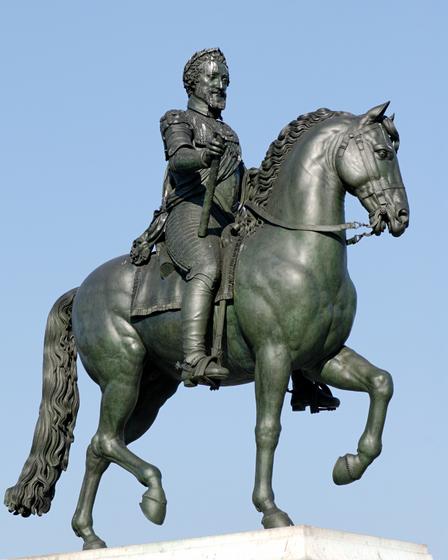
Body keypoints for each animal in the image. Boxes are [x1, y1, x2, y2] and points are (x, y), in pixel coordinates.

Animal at [4, 99, 410, 548]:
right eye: (383, 152)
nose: (400, 216)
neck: (296, 249)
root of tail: (82, 289)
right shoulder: (273, 355)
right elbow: (267, 429)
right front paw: (271, 510)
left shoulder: (322, 358)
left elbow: (382, 383)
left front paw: (349, 465)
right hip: (122, 375)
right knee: (107, 440)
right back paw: (153, 496)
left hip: (151, 390)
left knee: (99, 447)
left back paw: (90, 535)